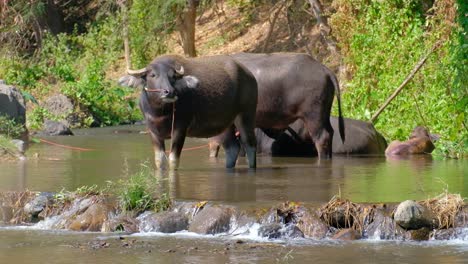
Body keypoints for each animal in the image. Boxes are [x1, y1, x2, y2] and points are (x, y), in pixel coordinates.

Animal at [120, 55, 258, 170]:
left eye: (173, 77)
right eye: (152, 75)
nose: (170, 92)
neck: (160, 113)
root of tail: (250, 76)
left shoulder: (180, 129)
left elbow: (173, 160)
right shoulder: (153, 132)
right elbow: (160, 161)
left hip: (246, 116)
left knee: (250, 144)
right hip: (225, 124)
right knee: (232, 148)